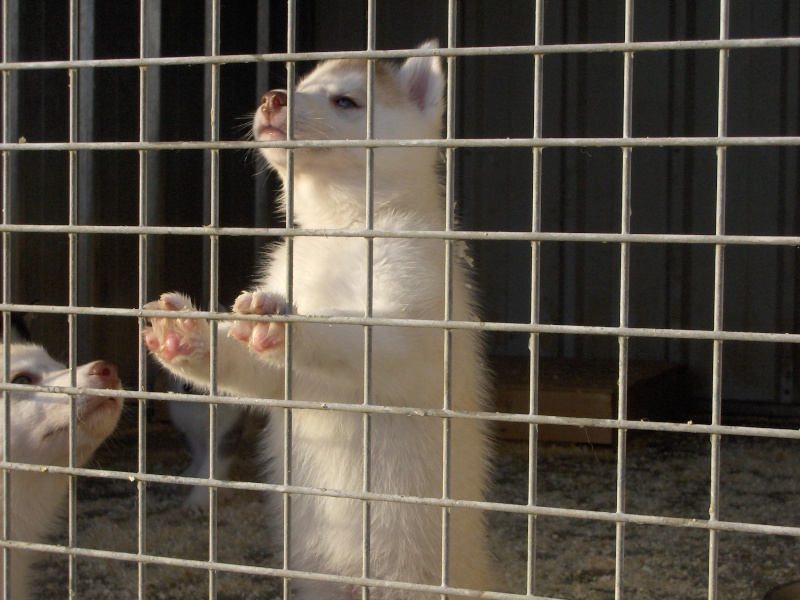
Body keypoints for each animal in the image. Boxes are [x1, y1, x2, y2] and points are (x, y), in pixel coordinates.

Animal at [144, 42, 494, 600]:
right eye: (301, 83)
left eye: (346, 100)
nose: (272, 97)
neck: (344, 228)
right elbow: (251, 370)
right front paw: (190, 335)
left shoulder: (414, 324)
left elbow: (352, 339)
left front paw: (287, 323)